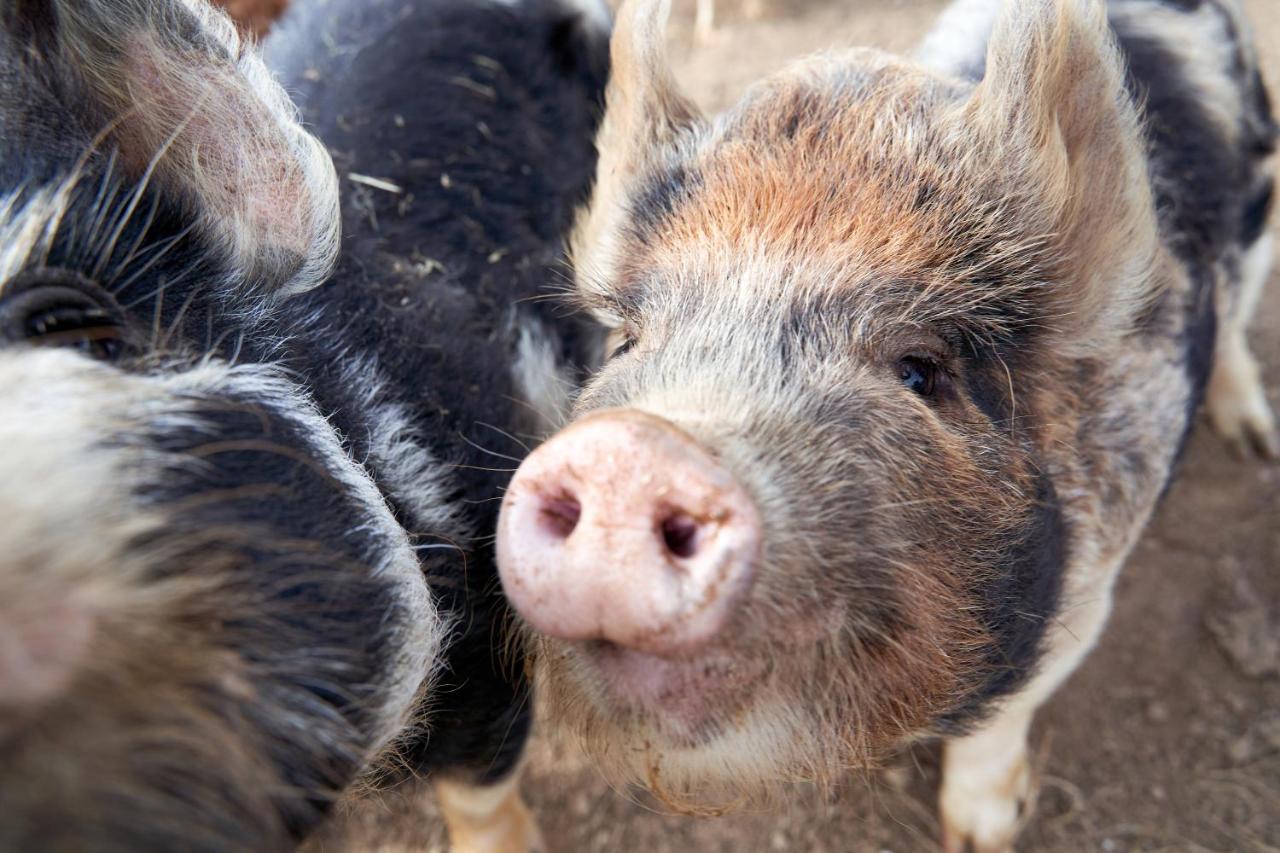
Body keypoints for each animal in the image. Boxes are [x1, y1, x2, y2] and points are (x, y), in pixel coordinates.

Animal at [491, 0, 1280, 845]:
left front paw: (980, 836)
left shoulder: (1095, 571)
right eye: (628, 342)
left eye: (919, 370)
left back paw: (1253, 439)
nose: (631, 450)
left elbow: (1000, 723)